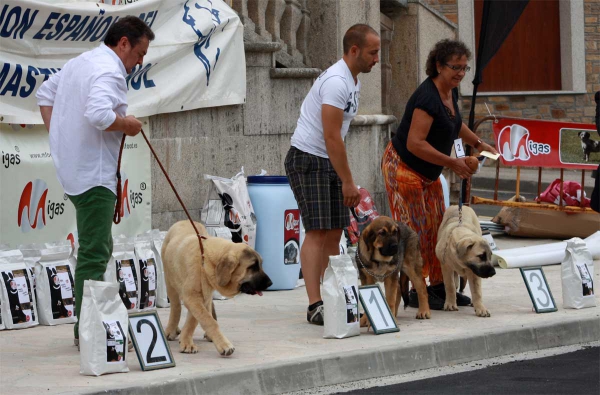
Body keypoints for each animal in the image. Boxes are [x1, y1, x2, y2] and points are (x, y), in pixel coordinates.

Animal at [161, 221, 270, 358]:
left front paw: (186, 341)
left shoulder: (200, 298)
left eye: (259, 265)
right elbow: (208, 321)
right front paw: (223, 345)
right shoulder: (192, 298)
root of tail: (183, 221)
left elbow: (196, 320)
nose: (270, 283)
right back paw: (171, 330)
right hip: (170, 282)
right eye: (253, 267)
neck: (206, 259)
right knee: (176, 307)